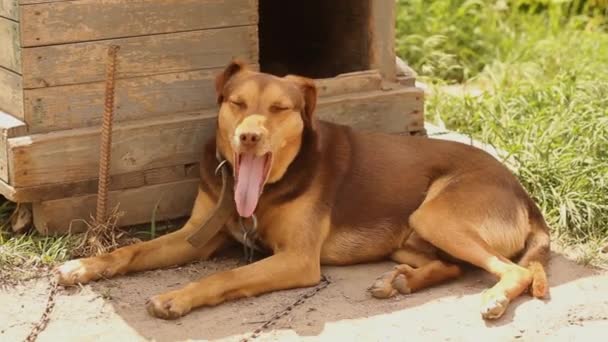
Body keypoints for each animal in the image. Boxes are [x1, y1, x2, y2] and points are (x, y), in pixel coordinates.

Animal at [57, 60, 552, 320]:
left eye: (279, 109)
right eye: (237, 103)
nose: (249, 136)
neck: (264, 188)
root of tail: (525, 196)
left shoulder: (297, 259)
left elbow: (226, 276)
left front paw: (178, 296)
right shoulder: (195, 236)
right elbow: (129, 252)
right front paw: (83, 265)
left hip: (435, 216)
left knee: (514, 271)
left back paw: (492, 298)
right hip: (411, 236)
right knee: (452, 266)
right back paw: (401, 283)